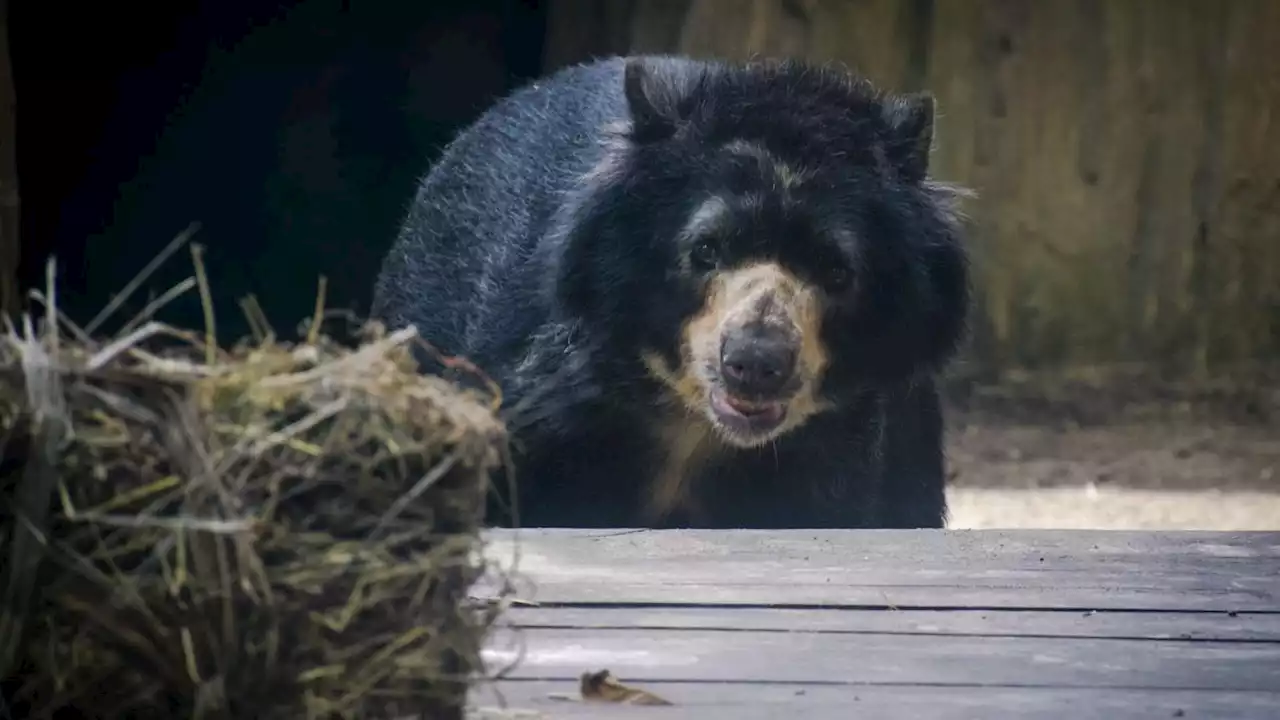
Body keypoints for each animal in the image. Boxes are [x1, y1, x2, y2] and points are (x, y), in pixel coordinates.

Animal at [371, 53, 967, 527]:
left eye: (837, 271)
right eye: (705, 249)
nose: (755, 363)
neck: (694, 426)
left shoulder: (840, 451)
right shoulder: (546, 408)